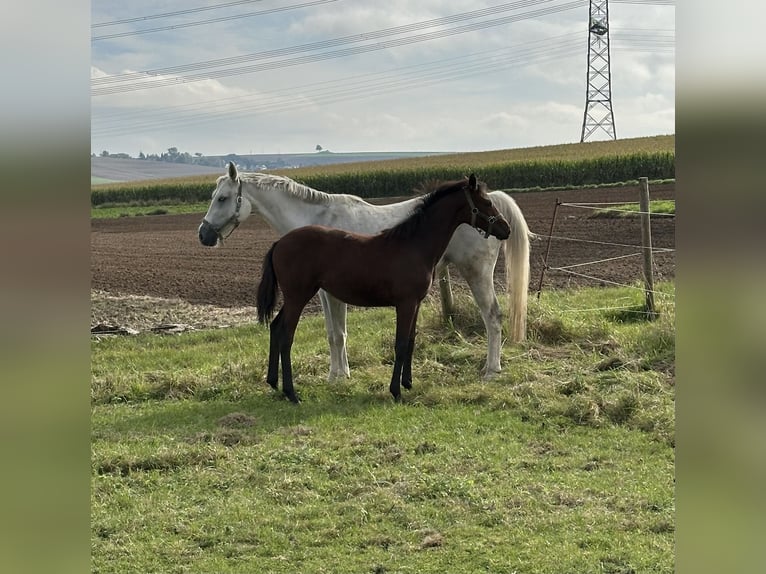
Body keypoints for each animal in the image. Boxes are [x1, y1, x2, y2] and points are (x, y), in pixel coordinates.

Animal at [201, 161, 532, 382]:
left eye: (222, 198)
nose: (203, 235)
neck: (317, 218)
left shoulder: (332, 294)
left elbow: (338, 333)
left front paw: (339, 376)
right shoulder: (325, 293)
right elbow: (333, 332)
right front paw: (337, 373)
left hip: (477, 274)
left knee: (493, 316)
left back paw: (492, 369)